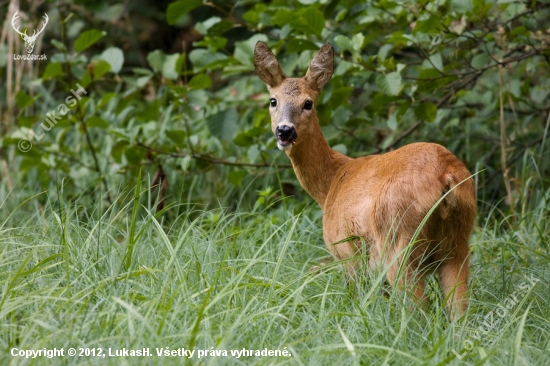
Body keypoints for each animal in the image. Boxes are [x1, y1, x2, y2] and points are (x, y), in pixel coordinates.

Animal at [254, 41, 478, 318]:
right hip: (459, 242)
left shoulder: (345, 249)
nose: (284, 131)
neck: (331, 183)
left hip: (399, 240)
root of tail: (445, 176)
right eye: (273, 100)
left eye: (308, 103)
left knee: (417, 309)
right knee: (459, 310)